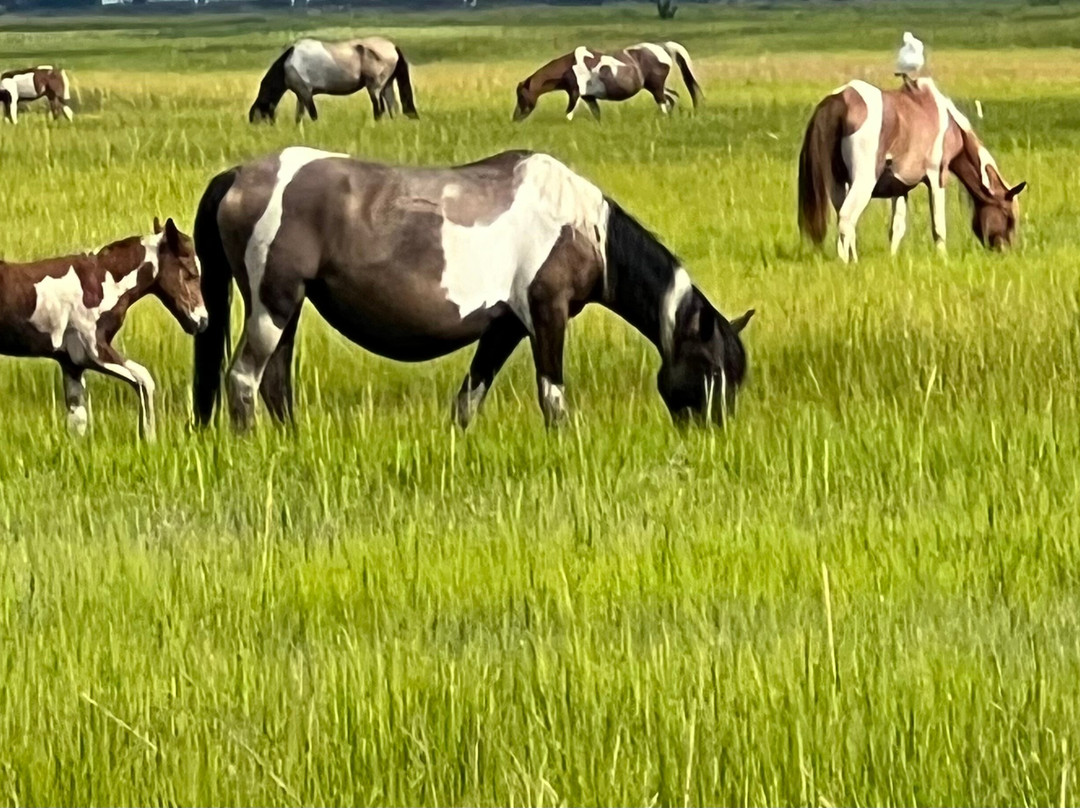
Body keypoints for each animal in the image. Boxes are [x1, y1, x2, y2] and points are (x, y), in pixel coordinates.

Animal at [0, 218, 208, 439]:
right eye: (191, 274)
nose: (202, 321)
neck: (99, 283)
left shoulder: (72, 363)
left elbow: (78, 421)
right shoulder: (93, 351)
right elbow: (144, 379)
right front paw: (149, 438)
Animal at [192, 147, 753, 430]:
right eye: (709, 369)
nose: (713, 433)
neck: (578, 224)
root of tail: (238, 176)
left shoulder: (505, 328)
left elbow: (467, 401)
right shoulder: (546, 315)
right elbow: (552, 398)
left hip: (286, 307)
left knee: (274, 384)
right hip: (273, 304)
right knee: (243, 380)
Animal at [249, 37, 418, 124]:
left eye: (258, 119)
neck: (288, 64)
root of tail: (393, 47)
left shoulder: (306, 93)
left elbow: (313, 115)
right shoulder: (301, 95)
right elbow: (298, 117)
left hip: (374, 87)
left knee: (379, 109)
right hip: (387, 86)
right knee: (393, 107)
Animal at [513, 42, 702, 122]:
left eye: (521, 96)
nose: (515, 118)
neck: (569, 66)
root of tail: (663, 48)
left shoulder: (575, 93)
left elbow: (568, 114)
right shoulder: (589, 97)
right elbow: (597, 114)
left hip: (656, 87)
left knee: (663, 102)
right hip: (654, 87)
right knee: (672, 98)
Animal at [798, 77, 1026, 262]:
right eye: (1008, 216)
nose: (1006, 252)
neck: (948, 124)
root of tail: (838, 102)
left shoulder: (899, 189)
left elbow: (896, 228)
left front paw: (892, 259)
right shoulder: (937, 178)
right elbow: (938, 226)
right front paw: (942, 258)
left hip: (837, 184)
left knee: (844, 218)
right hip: (863, 183)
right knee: (846, 218)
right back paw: (846, 263)